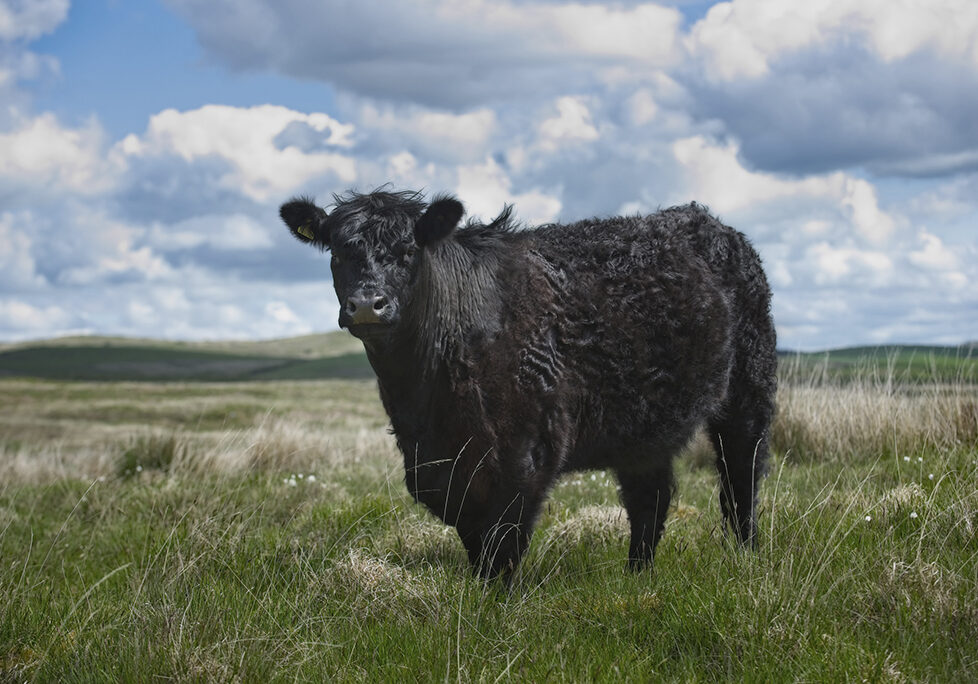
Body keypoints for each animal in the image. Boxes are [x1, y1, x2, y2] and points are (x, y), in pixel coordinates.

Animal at [278, 190, 772, 580]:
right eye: (337, 253)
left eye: (408, 251)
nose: (367, 304)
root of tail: (704, 219)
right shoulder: (438, 466)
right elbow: (475, 540)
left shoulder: (526, 449)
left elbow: (503, 544)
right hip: (644, 426)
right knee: (650, 498)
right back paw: (637, 576)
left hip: (749, 390)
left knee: (740, 477)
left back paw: (744, 557)